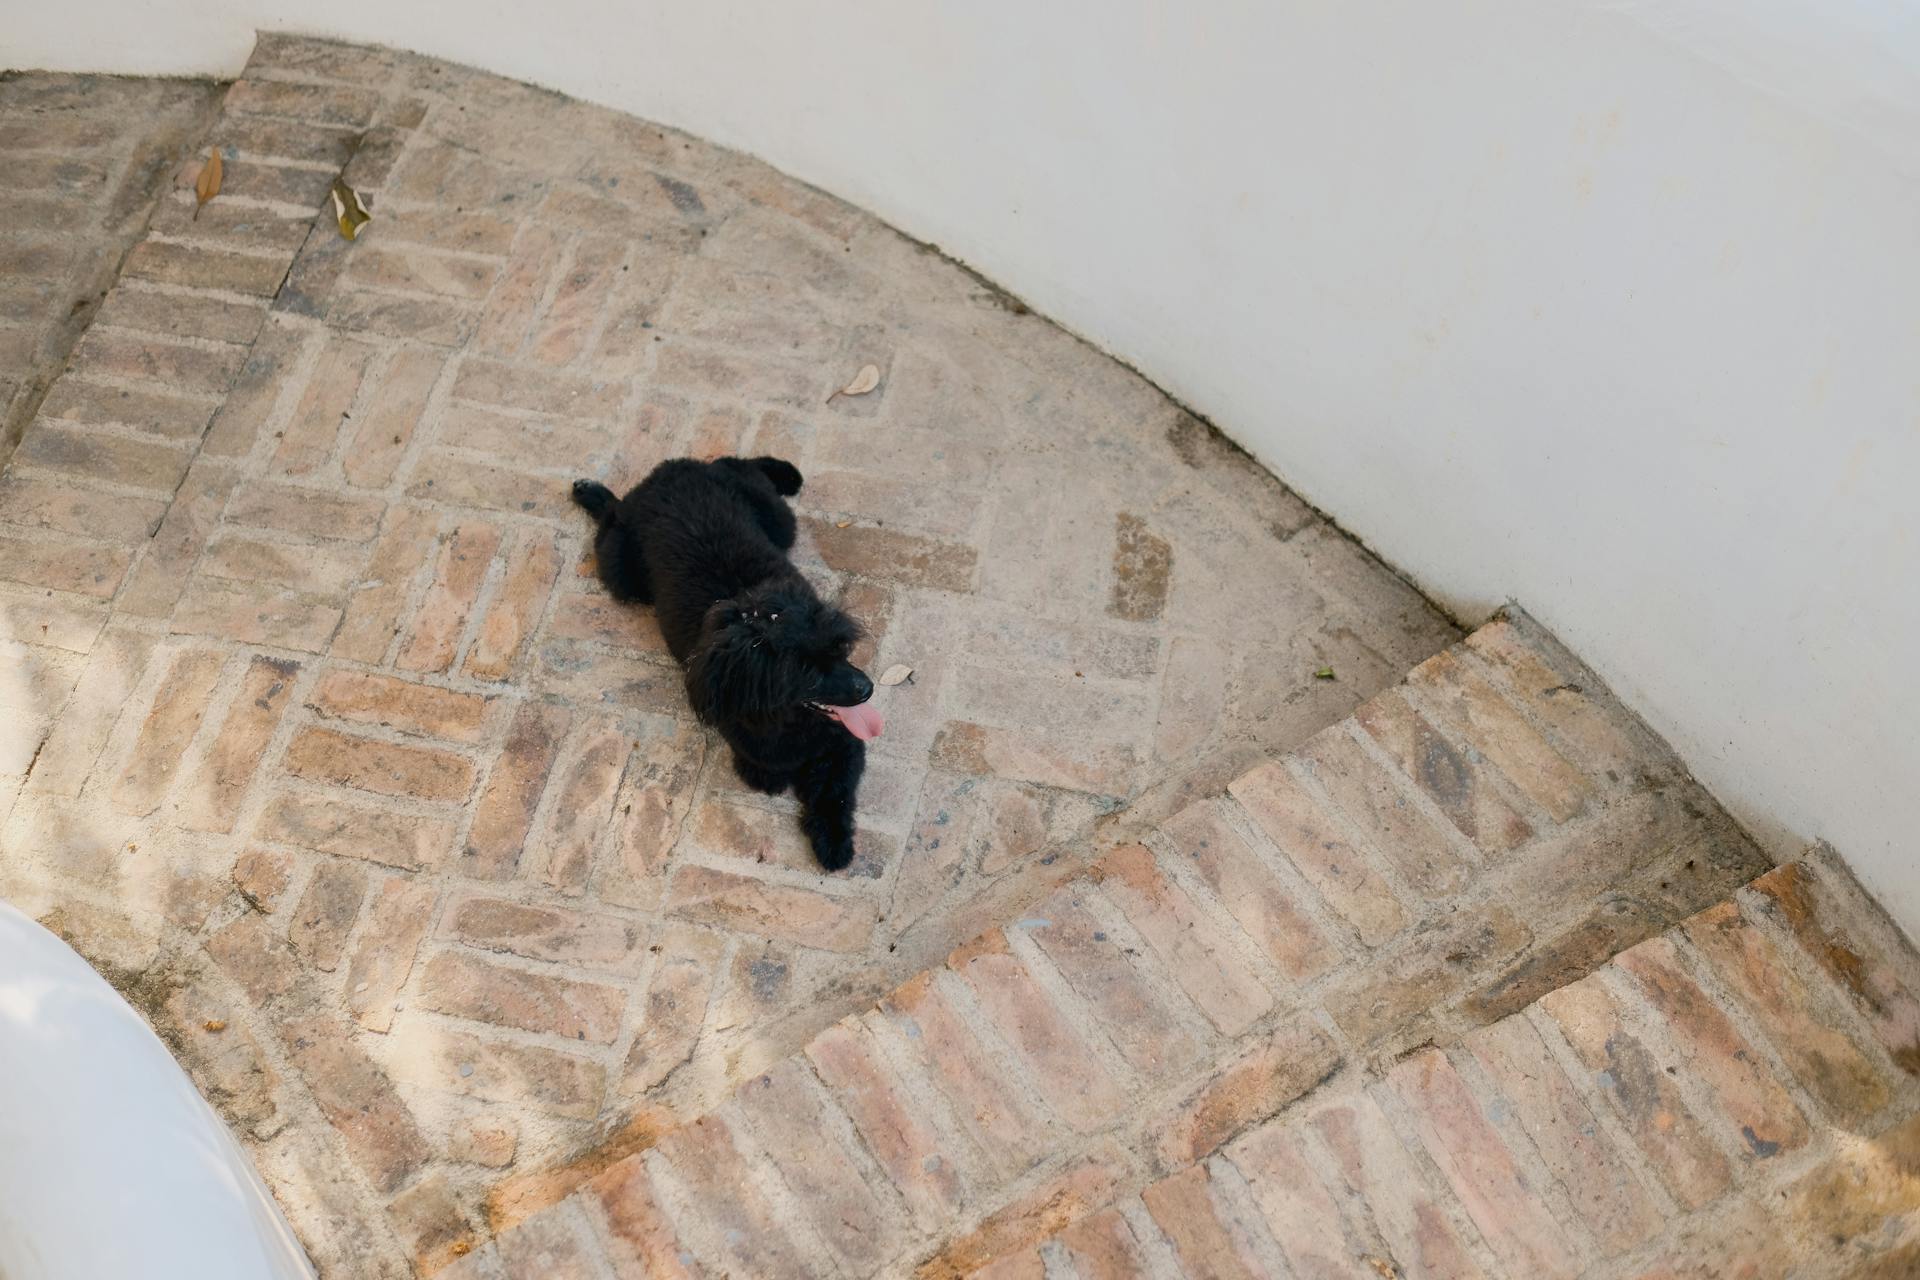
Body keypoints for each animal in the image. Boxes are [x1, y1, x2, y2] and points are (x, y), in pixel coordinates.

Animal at [560, 458, 879, 871]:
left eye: (839, 648)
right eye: (806, 673)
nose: (867, 688)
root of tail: (671, 470)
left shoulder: (844, 742)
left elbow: (834, 792)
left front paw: (835, 843)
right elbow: (770, 769)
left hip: (779, 518)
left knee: (736, 461)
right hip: (620, 572)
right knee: (612, 517)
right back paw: (591, 492)